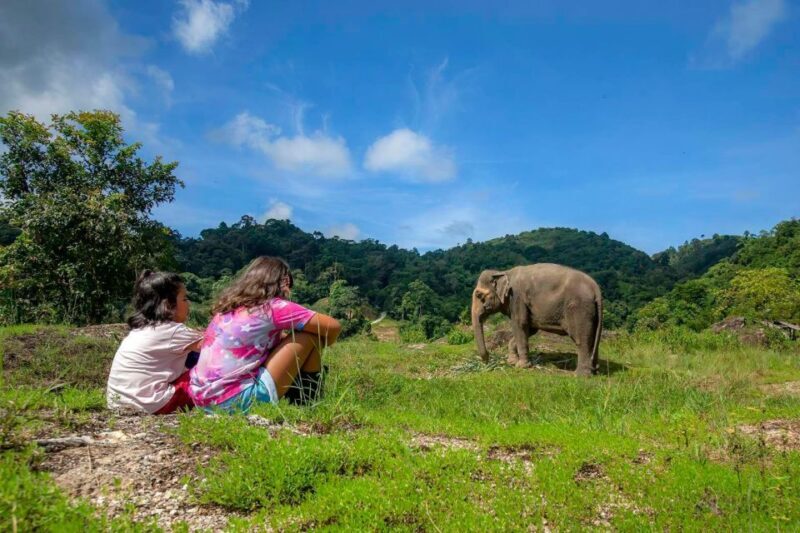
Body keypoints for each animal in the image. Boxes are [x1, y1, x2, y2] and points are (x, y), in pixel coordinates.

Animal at [471, 263, 603, 376]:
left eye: (479, 295)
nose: (488, 360)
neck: (504, 272)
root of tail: (596, 288)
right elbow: (530, 329)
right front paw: (511, 362)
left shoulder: (517, 298)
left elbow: (520, 324)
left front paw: (521, 366)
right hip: (592, 312)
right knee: (593, 338)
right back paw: (594, 370)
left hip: (579, 309)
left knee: (581, 340)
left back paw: (579, 375)